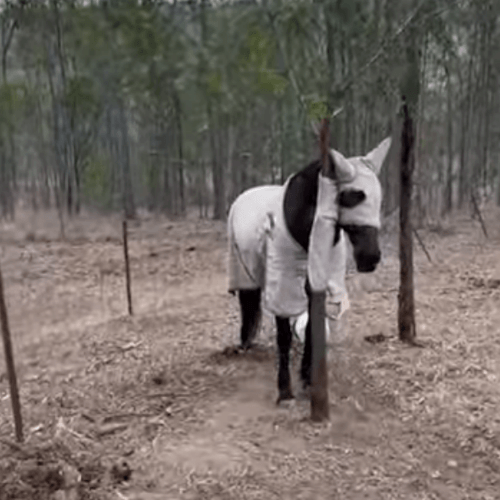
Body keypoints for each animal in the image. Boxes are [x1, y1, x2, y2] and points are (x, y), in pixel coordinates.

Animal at [227, 136, 390, 402]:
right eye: (351, 195)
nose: (371, 258)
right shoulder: (282, 287)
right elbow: (283, 336)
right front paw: (285, 390)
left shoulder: (318, 286)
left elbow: (314, 329)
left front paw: (307, 379)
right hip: (244, 273)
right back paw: (245, 345)